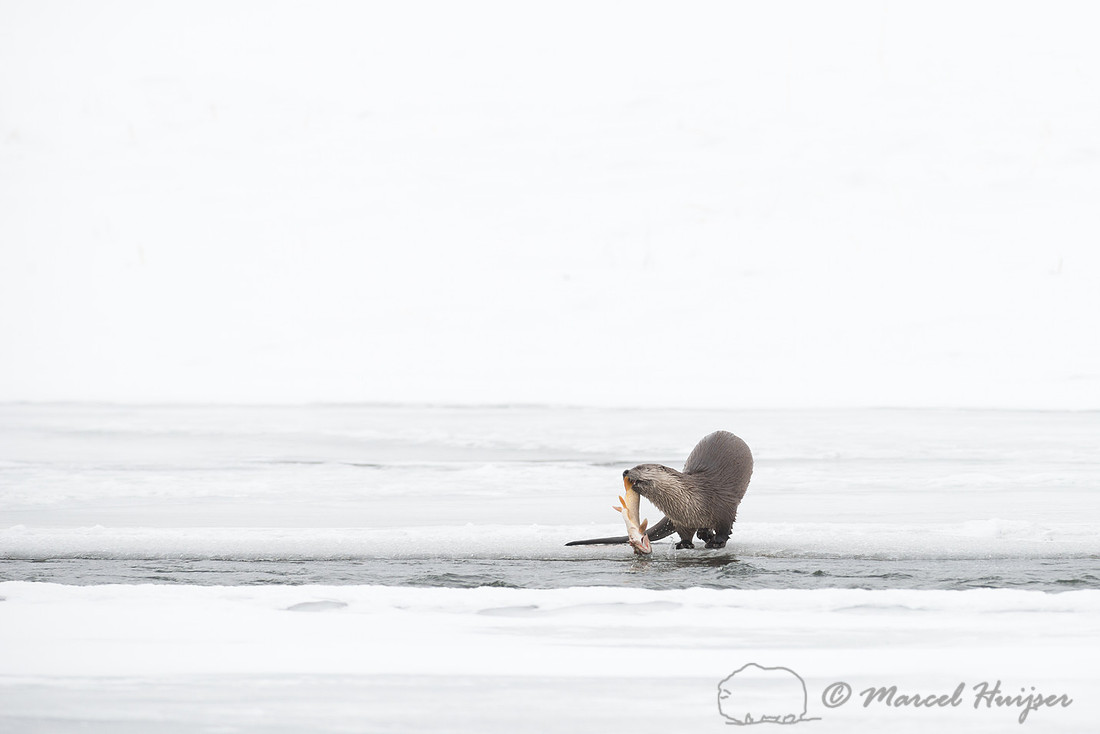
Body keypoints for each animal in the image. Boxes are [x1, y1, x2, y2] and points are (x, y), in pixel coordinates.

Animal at [566, 430, 753, 550]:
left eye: (641, 467)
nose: (625, 471)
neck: (691, 501)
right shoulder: (680, 520)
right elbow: (685, 534)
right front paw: (684, 544)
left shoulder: (724, 507)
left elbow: (725, 527)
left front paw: (717, 542)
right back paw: (704, 534)